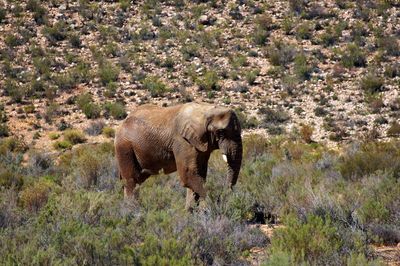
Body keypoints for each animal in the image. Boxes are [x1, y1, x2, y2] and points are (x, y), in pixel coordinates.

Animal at [114, 103, 242, 209]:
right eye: (221, 133)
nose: (223, 197)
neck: (206, 110)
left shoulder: (200, 144)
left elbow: (199, 174)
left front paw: (191, 212)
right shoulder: (183, 141)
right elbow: (188, 174)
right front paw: (211, 205)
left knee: (138, 178)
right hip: (124, 147)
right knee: (131, 180)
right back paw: (132, 211)